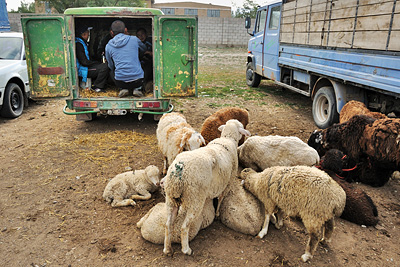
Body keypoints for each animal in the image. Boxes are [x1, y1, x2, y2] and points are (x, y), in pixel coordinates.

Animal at [162, 120, 250, 258]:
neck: (227, 139)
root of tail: (178, 172)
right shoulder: (227, 182)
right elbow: (220, 198)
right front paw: (218, 214)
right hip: (195, 199)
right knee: (184, 227)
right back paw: (186, 249)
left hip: (171, 199)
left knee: (168, 225)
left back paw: (167, 249)